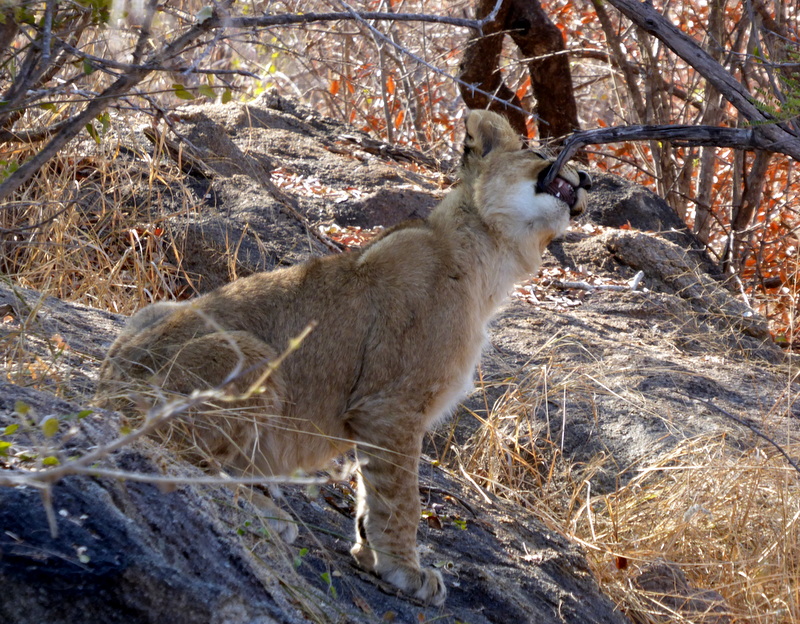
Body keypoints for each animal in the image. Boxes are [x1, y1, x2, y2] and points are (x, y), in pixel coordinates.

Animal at [96, 109, 591, 606]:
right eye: (539, 152)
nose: (587, 177)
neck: (490, 263)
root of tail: (106, 386)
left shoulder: (379, 417)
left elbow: (372, 489)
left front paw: (370, 553)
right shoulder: (392, 405)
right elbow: (403, 497)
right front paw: (404, 570)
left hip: (153, 312)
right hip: (252, 355)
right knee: (173, 458)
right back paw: (266, 511)